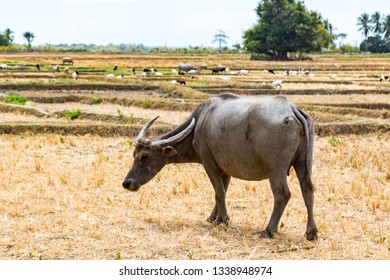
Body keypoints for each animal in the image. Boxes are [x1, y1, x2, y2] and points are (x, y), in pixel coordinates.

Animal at [123, 92, 318, 241]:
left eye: (144, 156)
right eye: (134, 154)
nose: (127, 183)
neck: (199, 125)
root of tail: (291, 109)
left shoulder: (210, 165)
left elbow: (219, 192)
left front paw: (222, 220)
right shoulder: (226, 169)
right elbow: (222, 191)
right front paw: (213, 216)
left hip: (275, 169)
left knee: (282, 195)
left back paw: (269, 230)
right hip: (303, 163)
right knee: (308, 191)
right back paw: (311, 233)